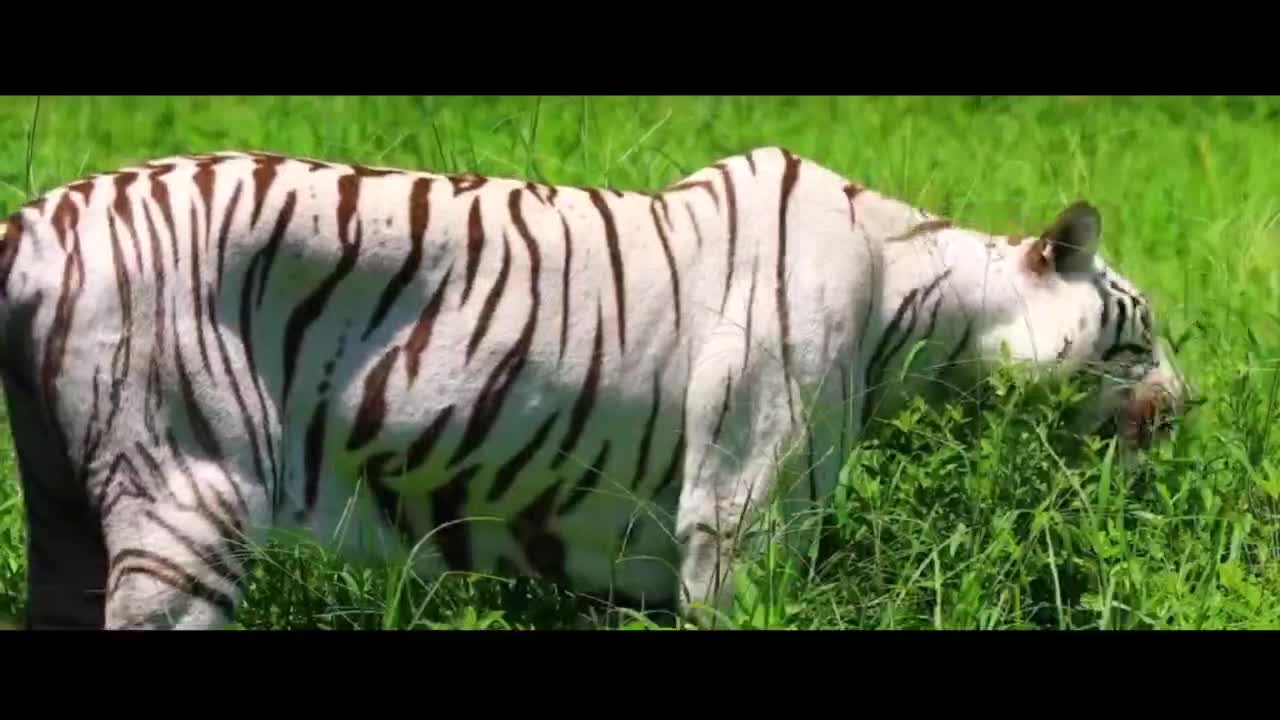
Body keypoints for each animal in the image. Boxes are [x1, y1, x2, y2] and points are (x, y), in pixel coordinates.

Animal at [0, 142, 1187, 625]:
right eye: (1137, 340)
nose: (1184, 411)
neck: (916, 307)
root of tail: (44, 213)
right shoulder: (737, 517)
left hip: (65, 513)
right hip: (188, 501)